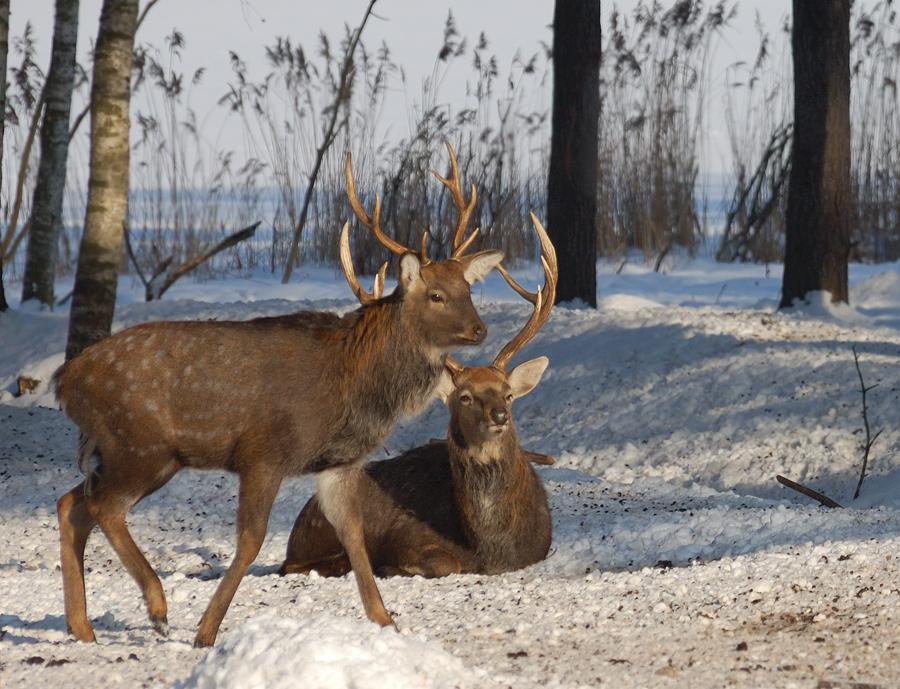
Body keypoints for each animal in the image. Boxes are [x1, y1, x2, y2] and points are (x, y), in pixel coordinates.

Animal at [54, 142, 506, 648]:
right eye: (435, 294)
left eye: (468, 287)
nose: (479, 329)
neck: (354, 385)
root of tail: (65, 380)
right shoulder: (264, 451)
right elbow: (251, 541)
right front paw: (206, 631)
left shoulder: (337, 463)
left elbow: (354, 536)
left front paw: (386, 622)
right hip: (140, 443)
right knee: (103, 506)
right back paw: (157, 608)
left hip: (132, 453)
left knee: (72, 503)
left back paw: (83, 627)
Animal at [280, 212, 556, 576]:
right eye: (464, 397)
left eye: (508, 394)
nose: (499, 416)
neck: (493, 548)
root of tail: (294, 531)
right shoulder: (407, 535)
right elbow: (442, 563)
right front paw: (393, 567)